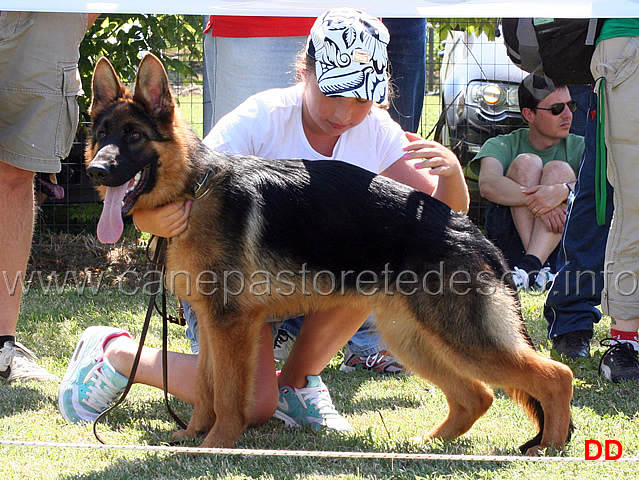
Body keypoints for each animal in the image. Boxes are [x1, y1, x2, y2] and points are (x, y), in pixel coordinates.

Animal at [85, 54, 576, 456]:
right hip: (416, 339)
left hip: (459, 336)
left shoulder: (229, 325)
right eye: (102, 134)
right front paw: (193, 437)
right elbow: (206, 387)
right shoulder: (212, 324)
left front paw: (218, 443)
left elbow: (226, 394)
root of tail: (473, 231)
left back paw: (549, 448)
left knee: (555, 376)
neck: (194, 188)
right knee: (478, 395)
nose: (95, 170)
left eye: (133, 136)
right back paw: (430, 442)